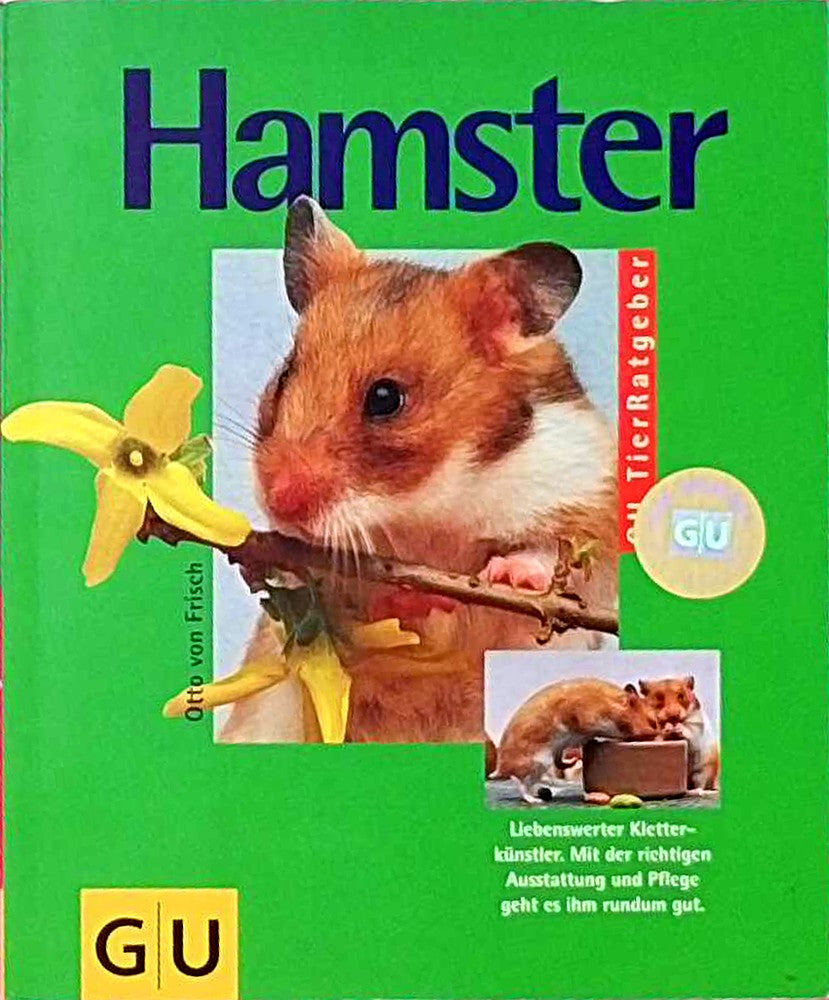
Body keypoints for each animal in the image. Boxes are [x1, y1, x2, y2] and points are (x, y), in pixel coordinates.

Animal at [222, 195, 617, 744]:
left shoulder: (584, 492)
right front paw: (405, 596)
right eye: (285, 376)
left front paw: (508, 576)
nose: (279, 502)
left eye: (386, 398)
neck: (429, 503)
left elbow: (550, 555)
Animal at [492, 678, 659, 803]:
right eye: (652, 722)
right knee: (522, 785)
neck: (613, 706)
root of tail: (500, 768)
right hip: (537, 763)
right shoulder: (585, 720)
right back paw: (536, 800)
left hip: (546, 760)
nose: (657, 736)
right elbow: (597, 735)